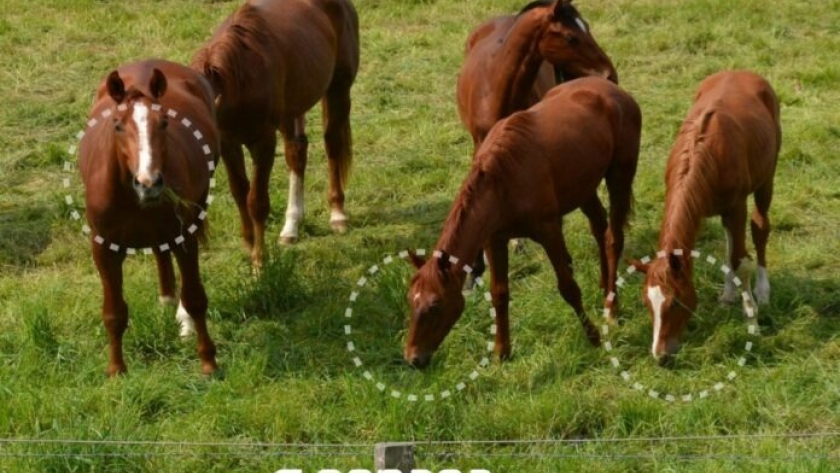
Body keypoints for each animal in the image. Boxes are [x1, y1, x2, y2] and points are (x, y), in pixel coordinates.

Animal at [78, 59, 220, 376]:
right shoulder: (103, 249)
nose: (149, 182)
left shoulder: (185, 237)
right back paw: (166, 299)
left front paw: (208, 362)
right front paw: (116, 370)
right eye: (118, 125)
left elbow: (195, 298)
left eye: (164, 123)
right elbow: (114, 312)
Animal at [191, 0, 359, 269]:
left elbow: (257, 201)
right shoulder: (229, 143)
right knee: (297, 153)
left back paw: (337, 214)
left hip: (338, 90)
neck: (240, 81)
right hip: (292, 110)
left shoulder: (263, 142)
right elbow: (239, 192)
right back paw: (291, 226)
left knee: (333, 145)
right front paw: (249, 245)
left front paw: (259, 261)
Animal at [405, 77, 641, 368]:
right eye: (410, 301)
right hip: (583, 188)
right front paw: (501, 352)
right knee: (599, 224)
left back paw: (611, 308)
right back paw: (603, 283)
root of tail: (614, 90)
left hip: (620, 176)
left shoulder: (549, 231)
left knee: (613, 239)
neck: (503, 179)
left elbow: (568, 287)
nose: (413, 358)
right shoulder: (495, 240)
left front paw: (594, 337)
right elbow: (499, 294)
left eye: (435, 305)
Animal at [633, 70, 781, 364]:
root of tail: (741, 71)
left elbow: (741, 261)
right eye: (646, 303)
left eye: (675, 302)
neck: (704, 156)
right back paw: (729, 293)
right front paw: (731, 296)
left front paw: (753, 322)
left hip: (766, 180)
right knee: (729, 241)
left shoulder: (736, 206)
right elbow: (731, 252)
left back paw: (762, 290)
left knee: (760, 228)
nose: (660, 355)